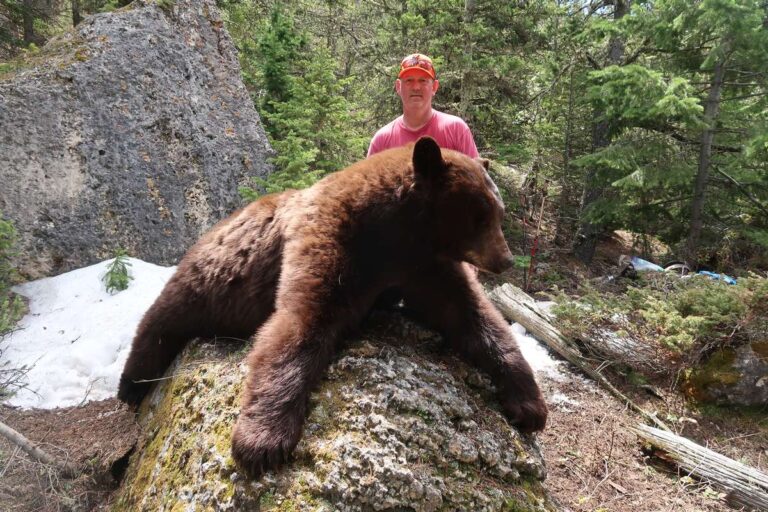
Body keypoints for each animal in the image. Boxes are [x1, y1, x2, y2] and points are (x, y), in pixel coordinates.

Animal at [118, 136, 547, 477]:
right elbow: (301, 321)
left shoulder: (424, 267)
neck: (397, 233)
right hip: (198, 287)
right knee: (153, 337)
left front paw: (529, 404)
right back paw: (129, 407)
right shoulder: (332, 236)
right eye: (479, 215)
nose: (505, 260)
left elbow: (473, 317)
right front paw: (262, 442)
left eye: (498, 212)